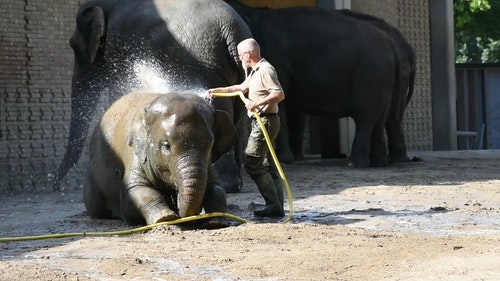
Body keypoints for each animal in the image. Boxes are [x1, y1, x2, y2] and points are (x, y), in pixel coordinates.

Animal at [52, 0, 252, 190]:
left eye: (75, 47)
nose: (55, 185)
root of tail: (232, 31)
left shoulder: (117, 47)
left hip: (203, 66)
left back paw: (225, 185)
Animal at [84, 91, 236, 225]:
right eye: (167, 146)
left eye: (210, 145)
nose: (177, 204)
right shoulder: (135, 153)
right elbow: (136, 191)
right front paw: (165, 218)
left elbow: (217, 189)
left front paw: (215, 222)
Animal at [228, 1, 398, 167]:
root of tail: (390, 43)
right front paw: (293, 158)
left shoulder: (277, 61)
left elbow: (280, 100)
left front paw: (284, 159)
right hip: (382, 78)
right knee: (379, 118)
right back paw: (378, 162)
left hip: (369, 73)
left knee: (365, 116)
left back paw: (354, 164)